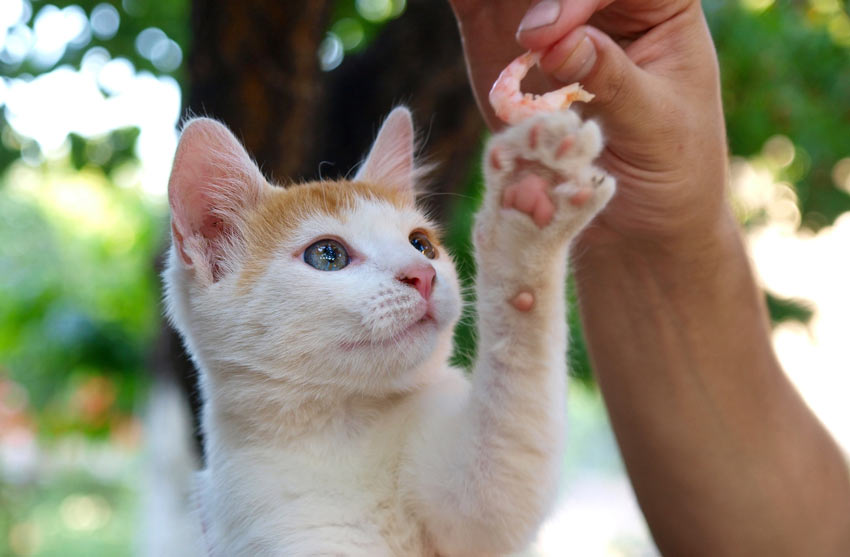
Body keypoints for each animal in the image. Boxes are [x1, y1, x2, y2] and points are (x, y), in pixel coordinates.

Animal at [161, 105, 608, 556]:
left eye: (421, 244)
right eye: (327, 255)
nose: (422, 275)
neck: (347, 427)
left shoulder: (471, 509)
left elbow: (501, 476)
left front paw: (532, 203)